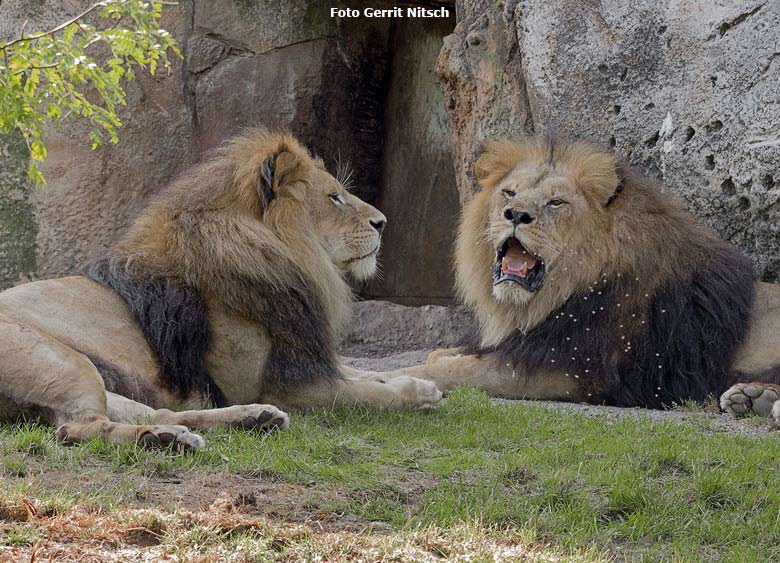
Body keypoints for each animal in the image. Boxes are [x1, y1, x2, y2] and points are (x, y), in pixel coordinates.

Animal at [0, 128, 442, 450]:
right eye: (335, 198)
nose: (382, 223)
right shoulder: (283, 386)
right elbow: (364, 393)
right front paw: (412, 392)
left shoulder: (300, 357)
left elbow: (368, 372)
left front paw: (425, 382)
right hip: (63, 360)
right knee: (78, 428)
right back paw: (165, 440)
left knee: (150, 412)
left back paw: (245, 419)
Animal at [384, 138, 780, 424]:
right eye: (509, 193)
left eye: (555, 203)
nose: (515, 214)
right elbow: (443, 354)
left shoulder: (567, 368)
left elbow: (451, 368)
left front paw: (390, 377)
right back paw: (753, 399)